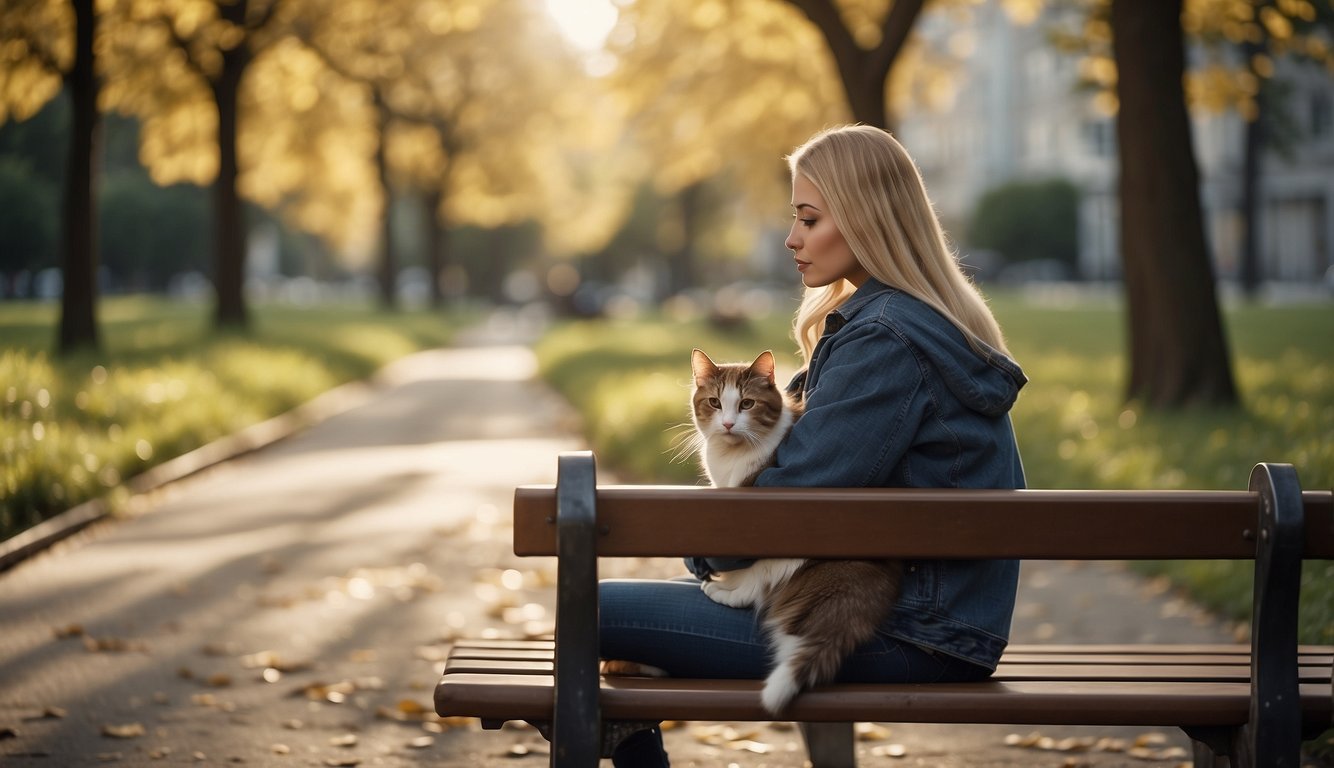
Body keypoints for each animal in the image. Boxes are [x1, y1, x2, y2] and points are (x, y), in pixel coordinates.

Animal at [688, 346, 907, 714]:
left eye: (746, 404)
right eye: (715, 403)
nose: (729, 423)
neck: (730, 457)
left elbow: (749, 570)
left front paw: (726, 585)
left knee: (762, 582)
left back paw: (727, 593)